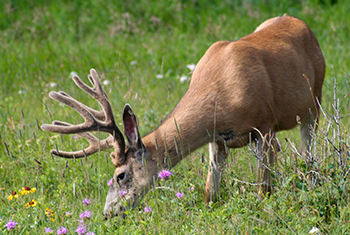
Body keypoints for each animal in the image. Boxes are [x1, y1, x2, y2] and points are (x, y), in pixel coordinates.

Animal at [41, 15, 326, 218]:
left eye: (120, 175)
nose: (108, 213)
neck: (221, 92)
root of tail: (303, 24)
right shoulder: (217, 139)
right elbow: (210, 191)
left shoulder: (264, 126)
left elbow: (263, 189)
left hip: (314, 104)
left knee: (308, 152)